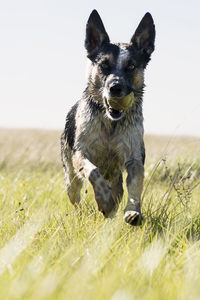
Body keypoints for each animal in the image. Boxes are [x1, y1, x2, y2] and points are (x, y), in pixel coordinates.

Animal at [60, 9, 155, 225]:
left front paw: (133, 211)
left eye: (131, 66)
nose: (115, 87)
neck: (111, 124)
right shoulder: (81, 153)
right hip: (71, 179)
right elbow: (93, 171)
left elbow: (135, 185)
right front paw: (104, 202)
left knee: (118, 189)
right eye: (104, 65)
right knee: (76, 198)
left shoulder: (134, 157)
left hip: (115, 175)